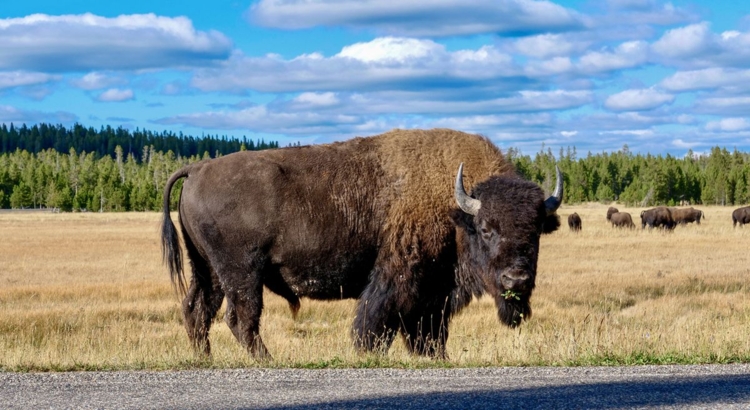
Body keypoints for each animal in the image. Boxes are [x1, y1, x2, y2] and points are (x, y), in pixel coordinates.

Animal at [163, 128, 564, 358]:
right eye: (486, 229)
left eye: (534, 231)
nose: (516, 280)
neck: (455, 207)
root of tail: (197, 169)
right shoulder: (398, 278)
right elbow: (376, 321)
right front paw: (365, 354)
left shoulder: (434, 294)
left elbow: (430, 333)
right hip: (242, 273)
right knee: (240, 317)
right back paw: (269, 360)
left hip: (208, 270)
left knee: (197, 309)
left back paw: (204, 359)